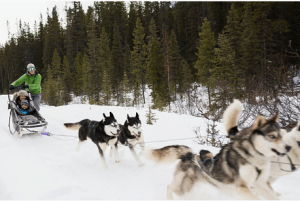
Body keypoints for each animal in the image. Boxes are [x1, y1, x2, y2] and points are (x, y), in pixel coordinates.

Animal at [146, 111, 290, 199]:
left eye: (282, 136)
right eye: (272, 136)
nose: (288, 147)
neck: (254, 159)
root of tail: (189, 155)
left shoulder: (261, 184)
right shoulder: (241, 188)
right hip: (182, 188)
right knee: (169, 187)